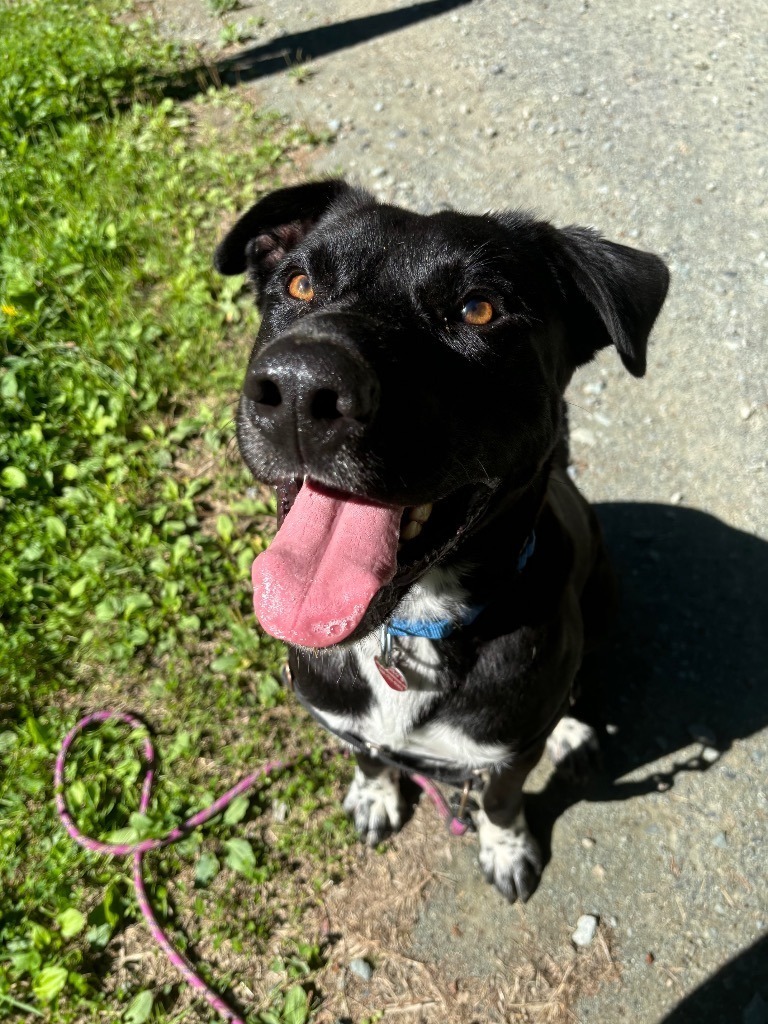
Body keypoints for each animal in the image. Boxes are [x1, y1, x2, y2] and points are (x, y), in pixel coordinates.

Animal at [214, 184, 671, 905]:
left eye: (479, 308)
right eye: (299, 283)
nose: (299, 389)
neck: (409, 625)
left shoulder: (508, 753)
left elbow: (502, 800)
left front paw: (507, 849)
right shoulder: (344, 721)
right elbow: (368, 754)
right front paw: (375, 795)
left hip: (601, 600)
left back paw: (573, 729)